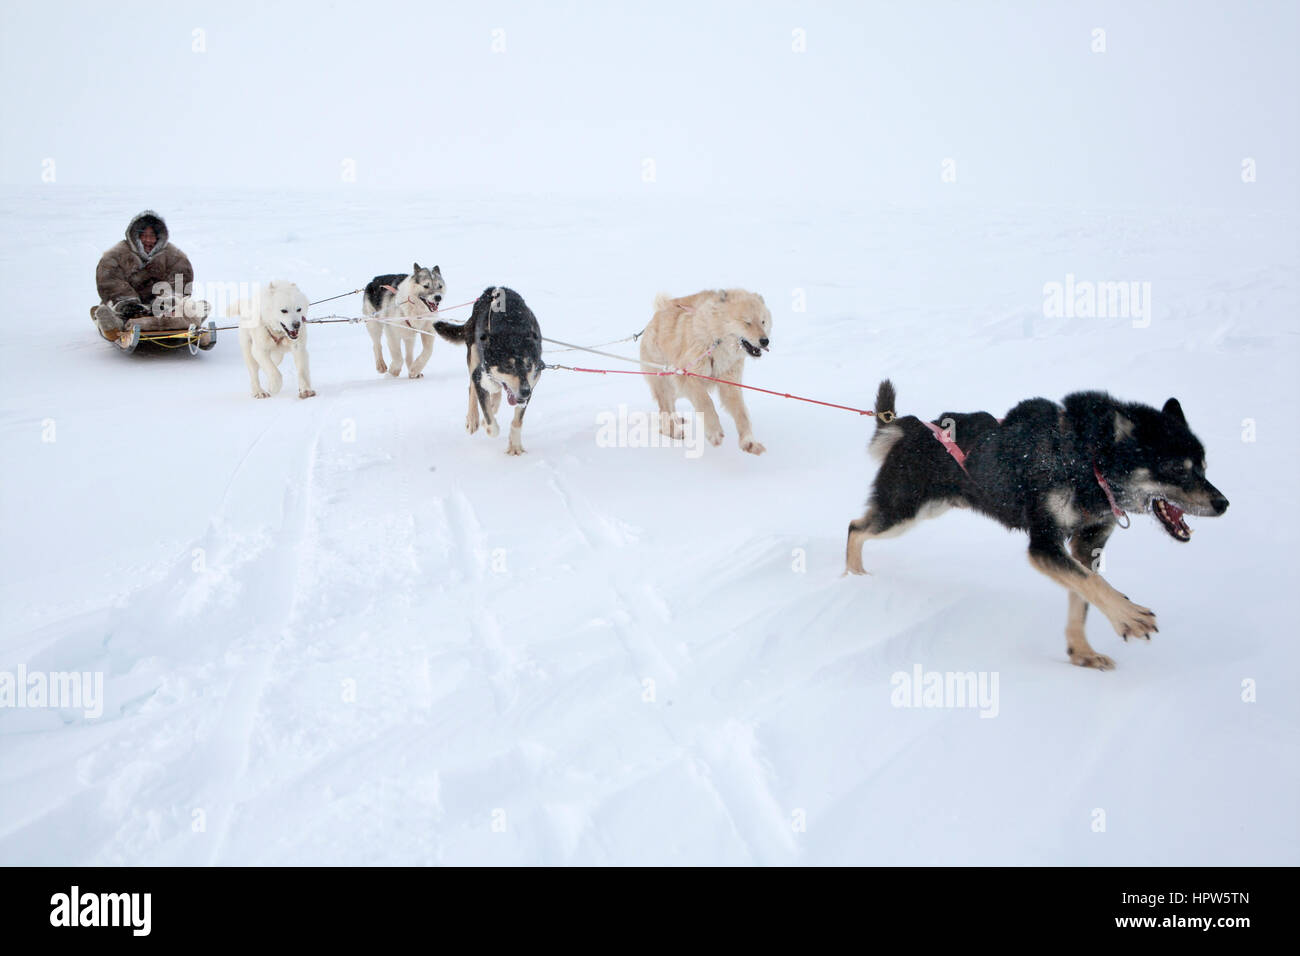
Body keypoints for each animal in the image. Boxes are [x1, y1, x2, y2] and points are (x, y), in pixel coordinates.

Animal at [434, 286, 540, 455]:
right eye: (508, 366)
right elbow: (491, 424)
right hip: (473, 354)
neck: (512, 329)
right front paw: (487, 424)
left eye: (529, 365)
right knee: (473, 388)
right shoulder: (480, 375)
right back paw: (473, 419)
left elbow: (517, 421)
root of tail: (493, 288)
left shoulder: (531, 384)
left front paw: (515, 445)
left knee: (496, 392)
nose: (525, 391)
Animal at [639, 287, 769, 455]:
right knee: (664, 408)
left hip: (674, 388)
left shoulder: (730, 384)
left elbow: (742, 413)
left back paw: (676, 420)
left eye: (763, 321)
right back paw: (673, 431)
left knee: (669, 407)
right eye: (747, 322)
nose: (765, 341)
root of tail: (660, 311)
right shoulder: (687, 377)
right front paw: (714, 432)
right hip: (665, 383)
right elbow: (706, 402)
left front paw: (749, 442)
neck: (715, 342)